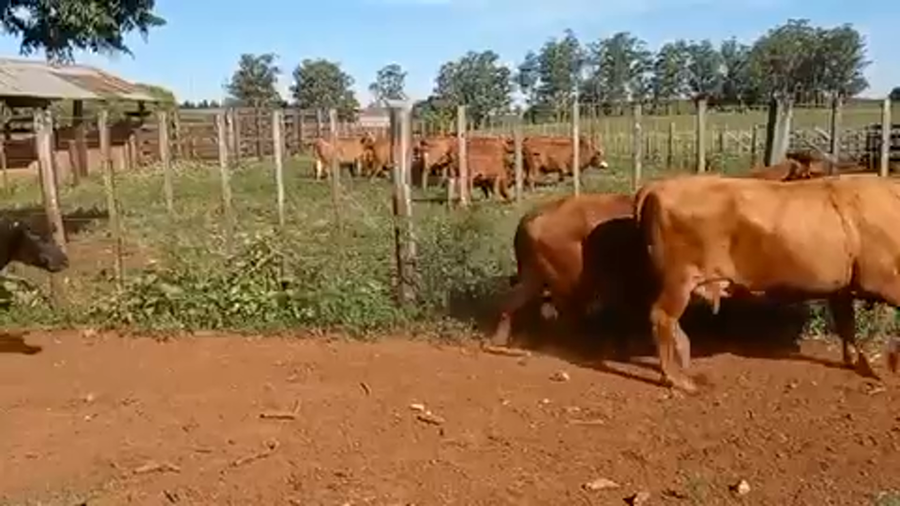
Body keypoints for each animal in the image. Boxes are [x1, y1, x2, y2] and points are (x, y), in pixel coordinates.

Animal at [635, 173, 900, 392]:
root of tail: (655, 186)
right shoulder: (885, 281)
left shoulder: (842, 289)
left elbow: (847, 324)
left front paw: (858, 362)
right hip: (680, 280)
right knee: (662, 317)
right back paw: (679, 380)